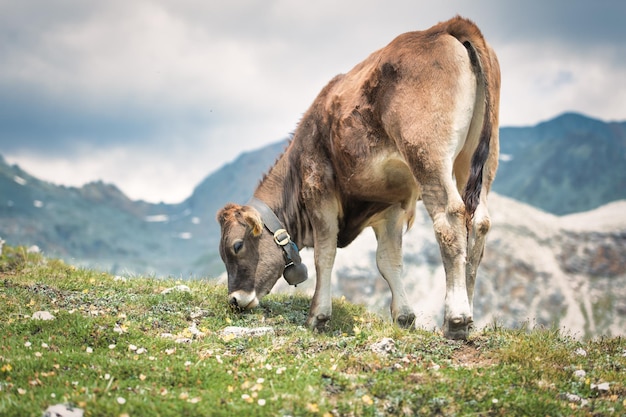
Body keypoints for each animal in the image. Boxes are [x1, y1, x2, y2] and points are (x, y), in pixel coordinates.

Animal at [217, 17, 500, 342]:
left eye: (236, 246)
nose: (235, 300)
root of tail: (445, 26)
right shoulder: (390, 204)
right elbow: (388, 261)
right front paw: (404, 317)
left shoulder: (318, 188)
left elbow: (324, 254)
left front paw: (318, 316)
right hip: (481, 159)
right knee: (477, 223)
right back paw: (468, 317)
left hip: (428, 153)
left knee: (450, 220)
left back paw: (456, 319)